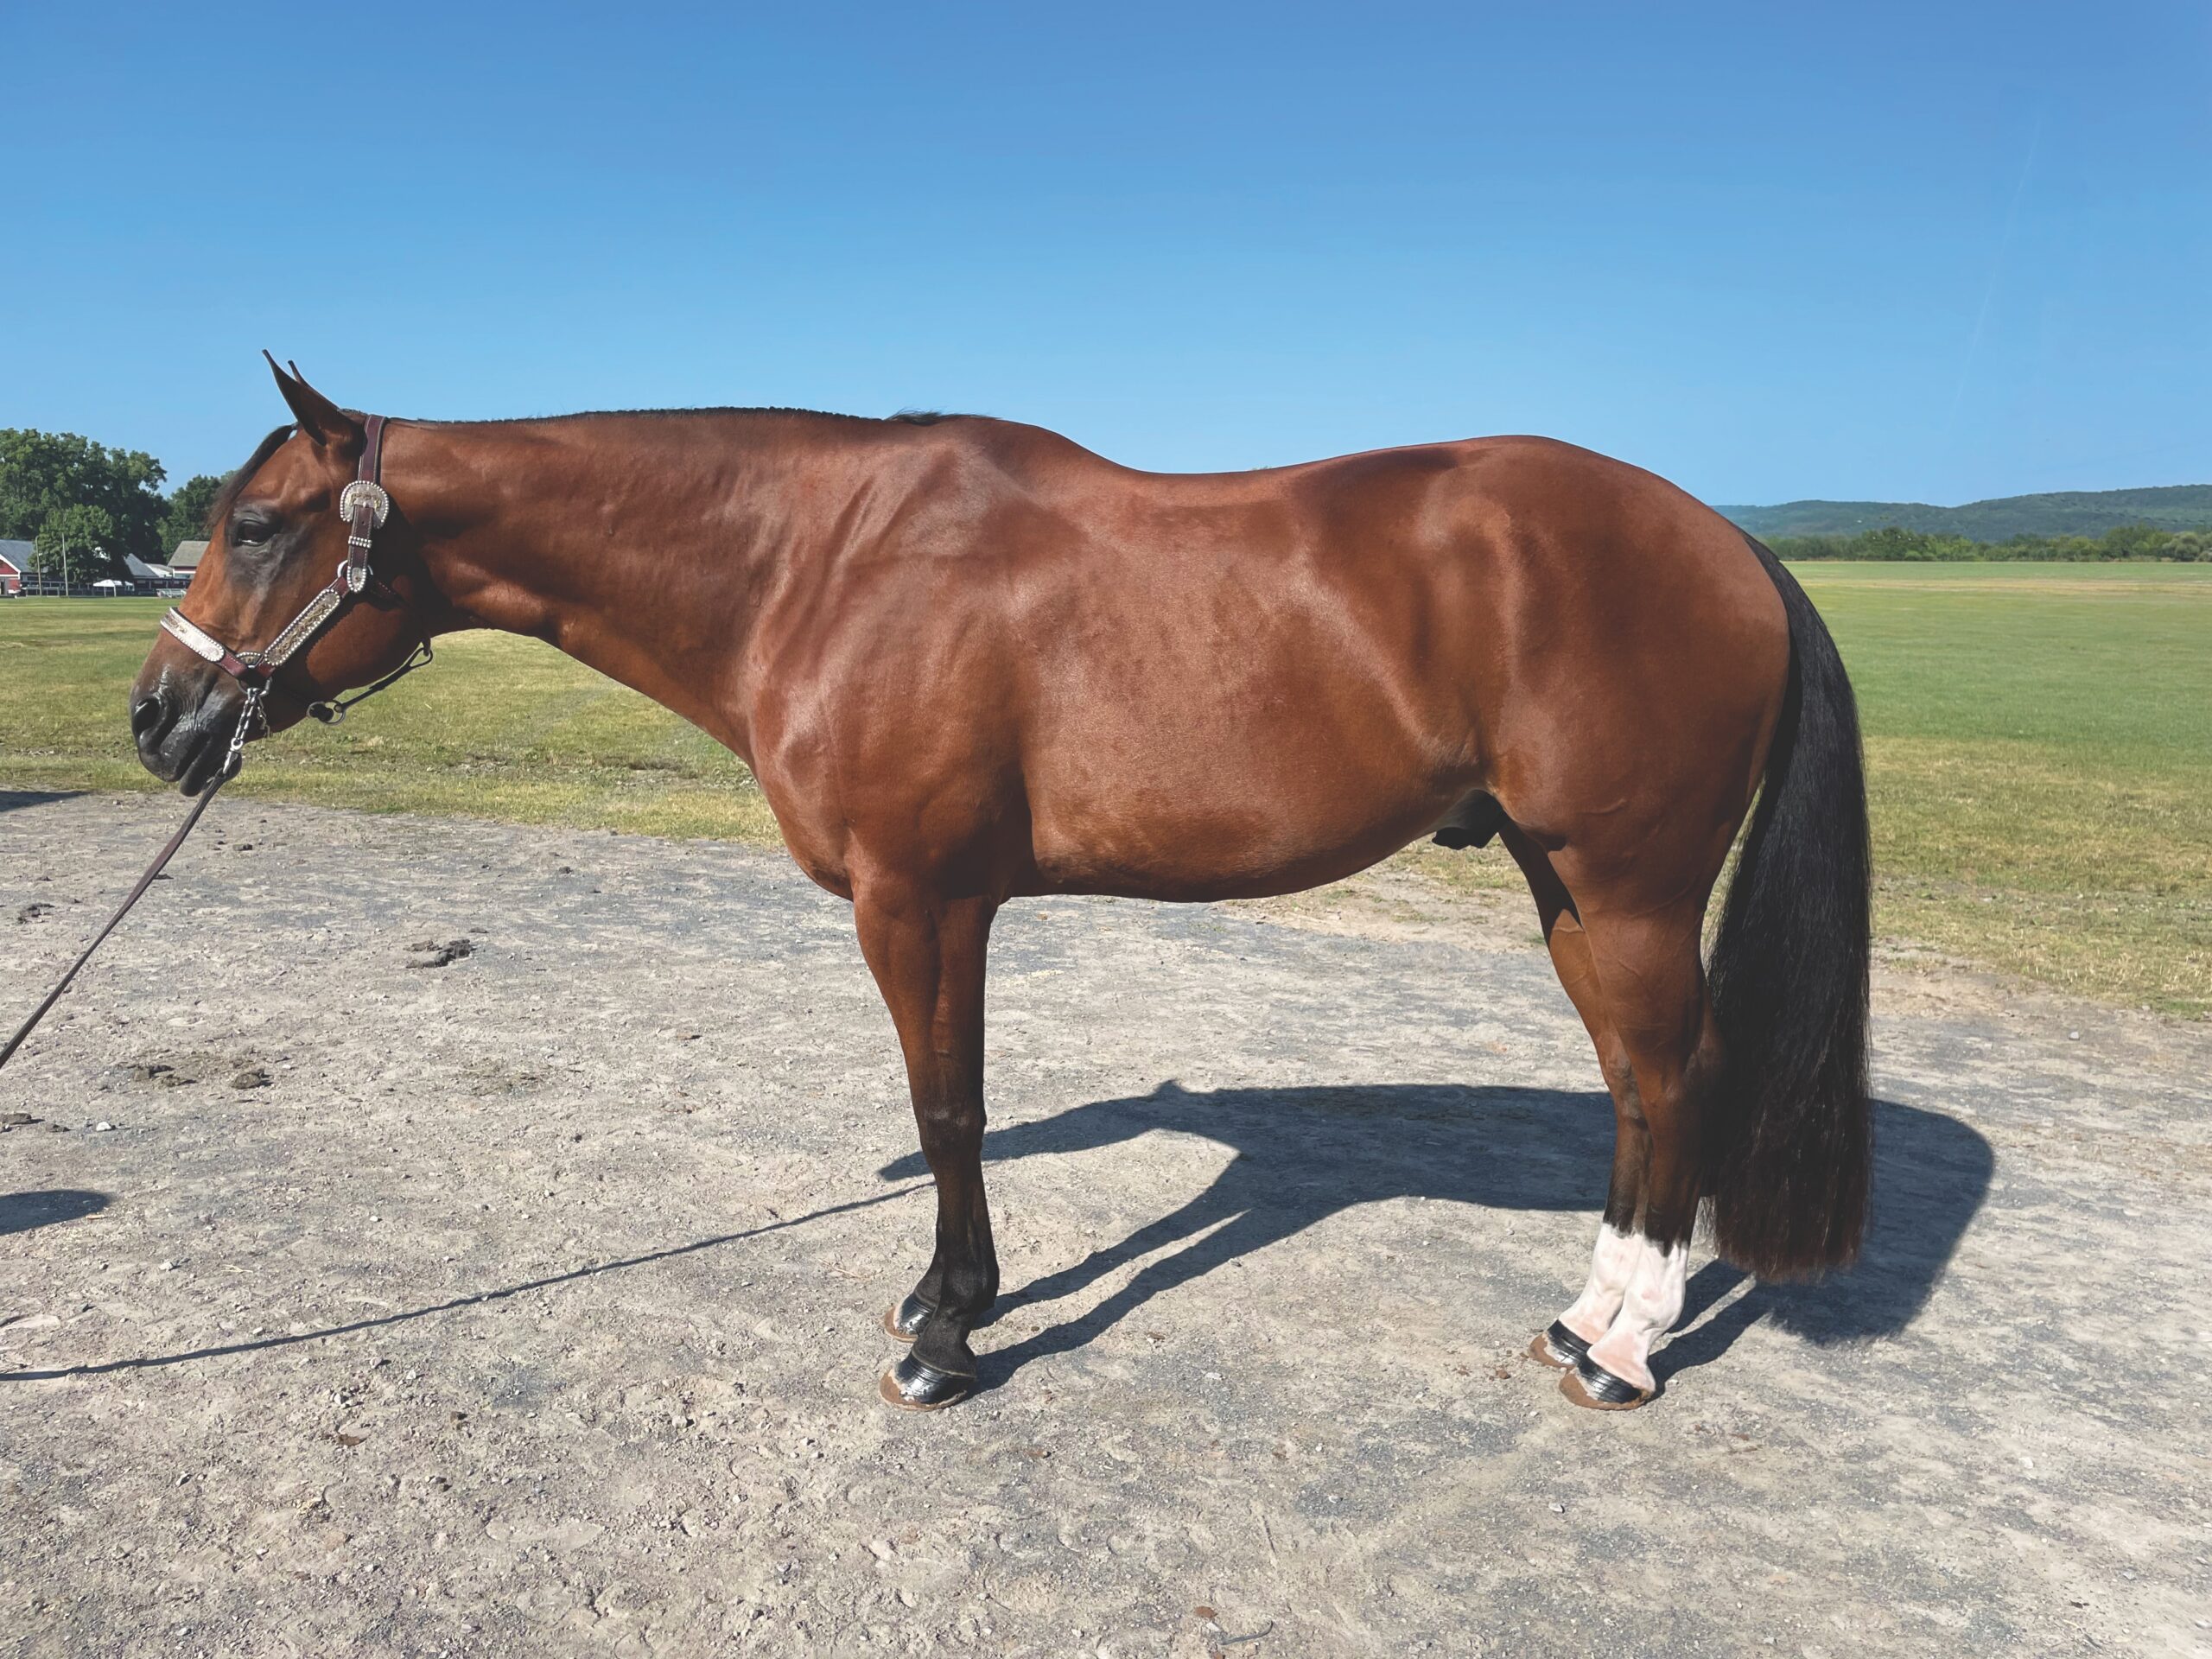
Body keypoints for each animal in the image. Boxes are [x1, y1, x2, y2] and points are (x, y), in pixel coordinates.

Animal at [130, 359, 1870, 1413]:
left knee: (1671, 1078)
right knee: (1638, 1090)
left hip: (1624, 890)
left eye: (260, 524)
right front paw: (946, 1307)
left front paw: (951, 1329)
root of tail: (1729, 544)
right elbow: (952, 1104)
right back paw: (1592, 1317)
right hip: (1568, 888)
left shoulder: (921, 900)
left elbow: (949, 1106)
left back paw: (1627, 1351)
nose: (158, 717)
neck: (819, 565)